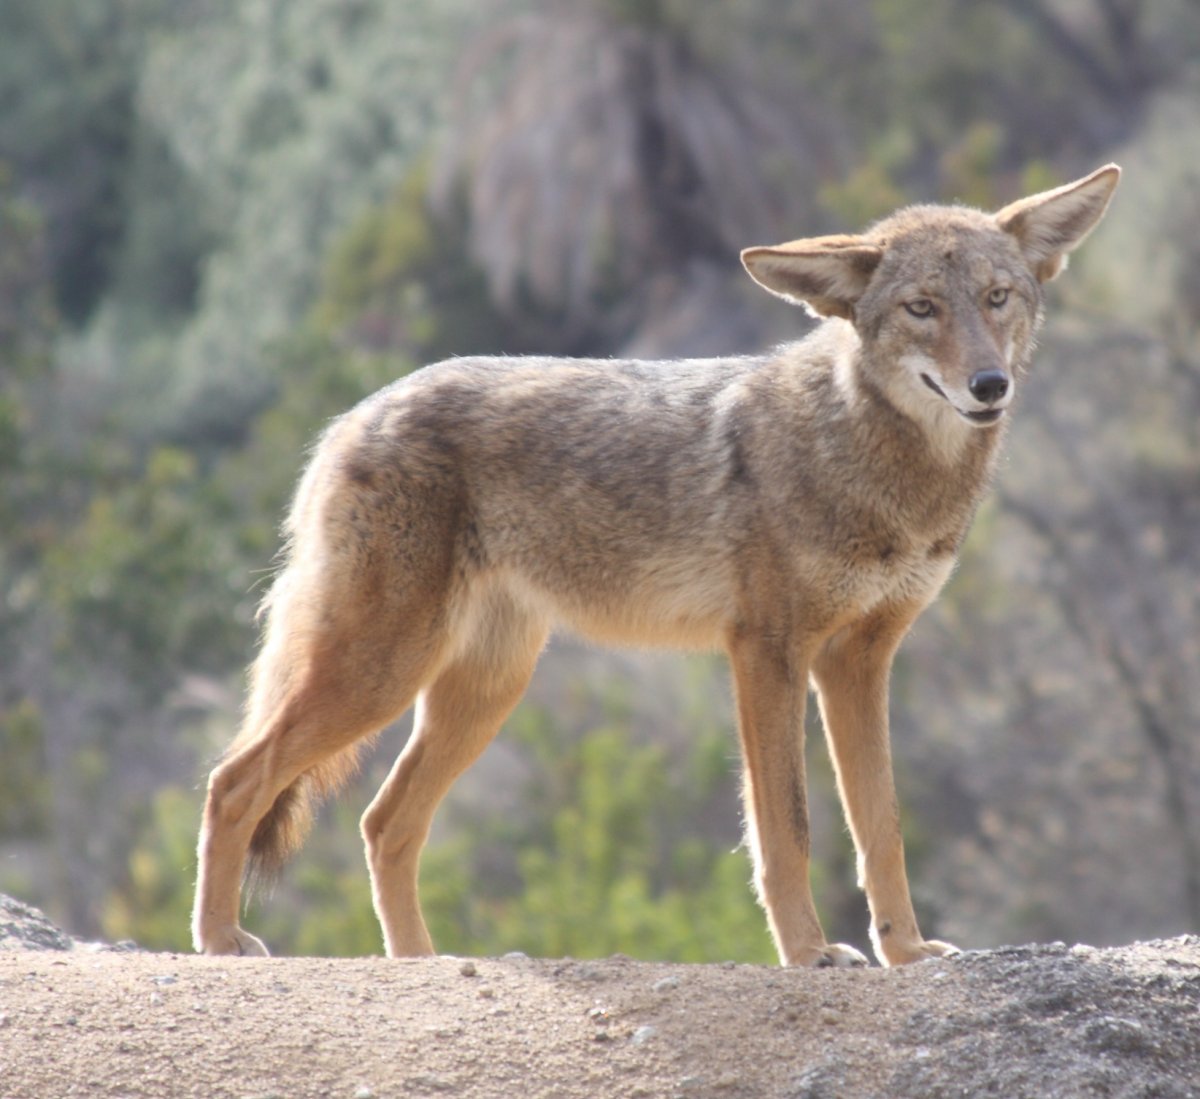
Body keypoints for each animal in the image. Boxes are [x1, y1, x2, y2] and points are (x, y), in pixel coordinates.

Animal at [192, 164, 1120, 966]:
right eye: (922, 308)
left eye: (997, 298)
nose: (989, 385)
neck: (877, 465)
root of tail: (351, 416)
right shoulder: (768, 653)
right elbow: (788, 830)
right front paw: (809, 953)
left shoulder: (859, 662)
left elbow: (880, 827)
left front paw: (907, 952)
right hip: (381, 673)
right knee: (236, 779)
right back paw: (220, 941)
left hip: (479, 690)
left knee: (384, 823)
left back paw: (421, 963)